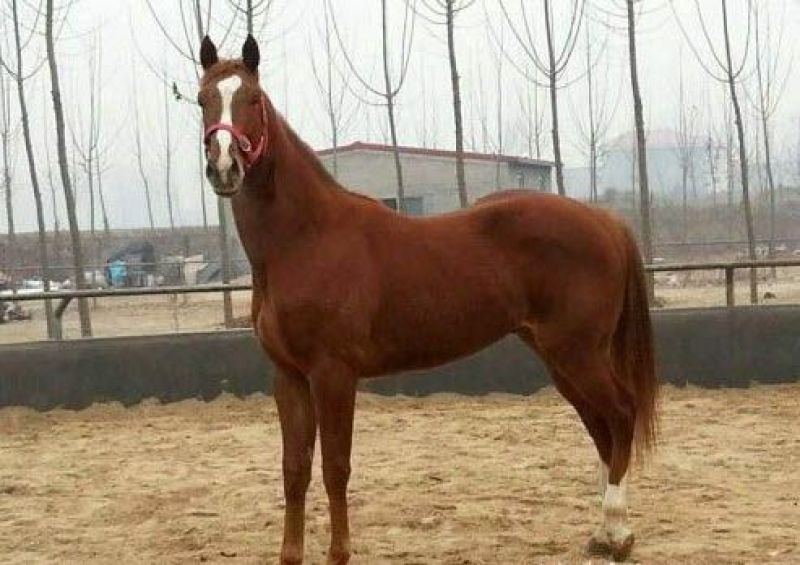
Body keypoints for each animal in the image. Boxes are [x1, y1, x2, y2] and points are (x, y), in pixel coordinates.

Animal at [197, 35, 658, 564]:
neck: (305, 238)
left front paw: (339, 553)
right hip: (560, 357)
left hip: (578, 353)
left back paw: (618, 533)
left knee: (620, 414)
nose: (224, 167)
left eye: (252, 99)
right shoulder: (288, 376)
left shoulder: (333, 373)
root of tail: (604, 221)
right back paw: (604, 533)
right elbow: (295, 468)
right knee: (602, 428)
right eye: (202, 99)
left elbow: (335, 466)